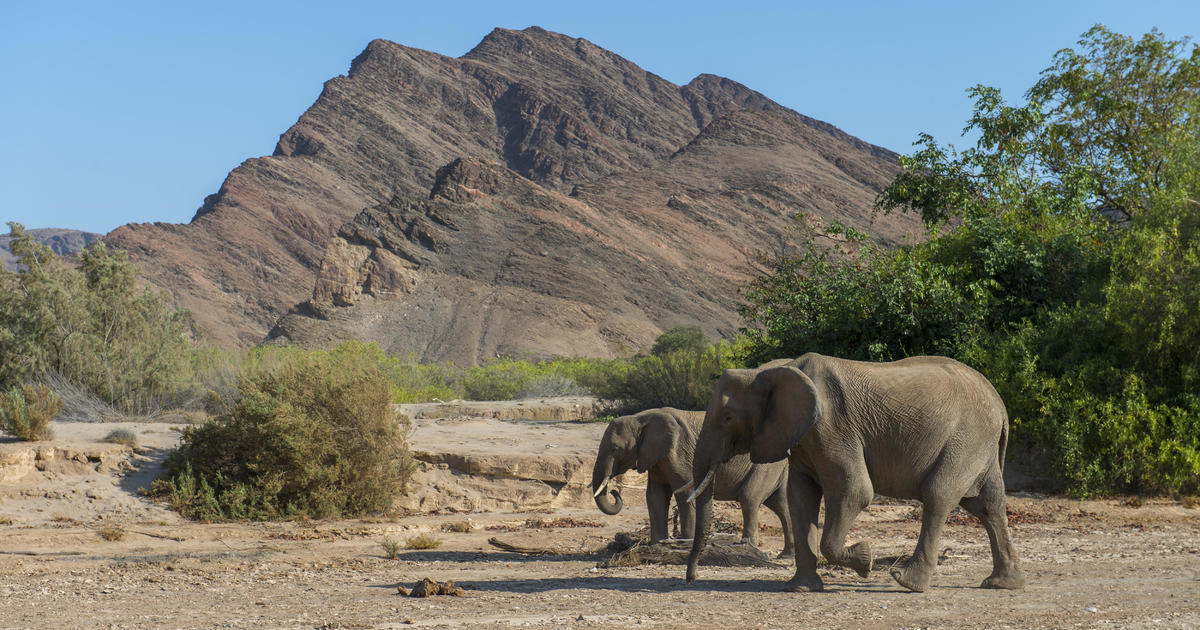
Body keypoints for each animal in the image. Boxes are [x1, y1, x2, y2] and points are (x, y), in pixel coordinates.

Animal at [592, 403, 796, 554]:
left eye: (614, 449)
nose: (614, 491)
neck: (640, 418)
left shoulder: (679, 452)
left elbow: (685, 493)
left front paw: (685, 543)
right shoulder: (655, 457)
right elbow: (655, 496)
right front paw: (657, 546)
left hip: (764, 464)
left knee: (749, 499)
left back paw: (749, 547)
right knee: (781, 504)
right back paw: (786, 555)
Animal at [686, 350, 1022, 592]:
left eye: (728, 417)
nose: (691, 579)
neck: (773, 370)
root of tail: (1001, 405)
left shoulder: (833, 428)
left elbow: (855, 490)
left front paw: (865, 560)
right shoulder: (803, 438)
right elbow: (800, 497)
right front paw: (802, 589)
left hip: (966, 439)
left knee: (938, 495)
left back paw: (907, 581)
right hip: (978, 446)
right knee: (987, 505)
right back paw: (1002, 584)